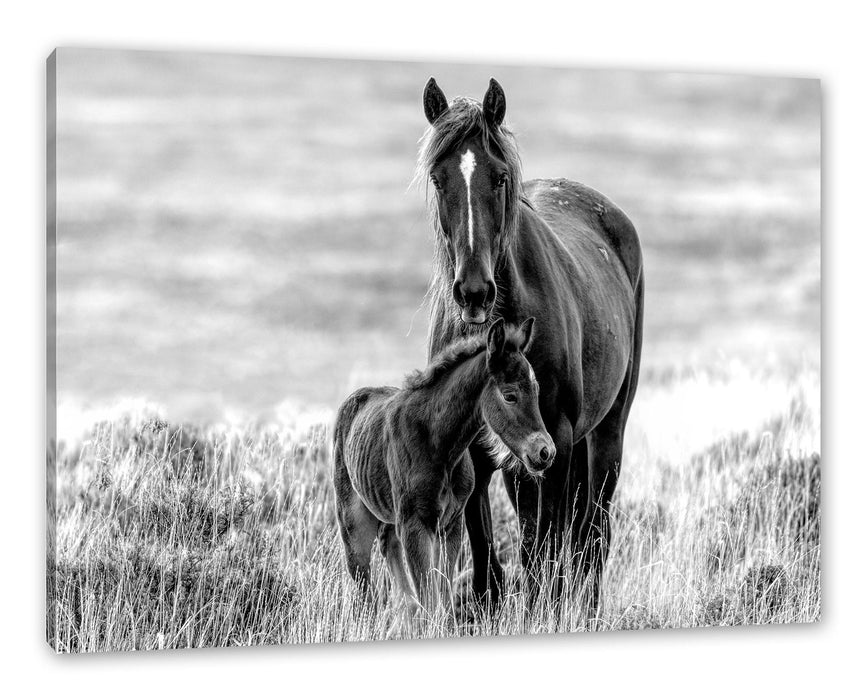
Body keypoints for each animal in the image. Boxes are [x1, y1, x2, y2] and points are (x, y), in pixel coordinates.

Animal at [330, 318, 552, 612]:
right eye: (510, 396)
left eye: (536, 390)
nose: (545, 452)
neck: (440, 446)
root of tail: (353, 401)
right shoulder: (415, 525)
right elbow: (429, 597)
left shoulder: (451, 525)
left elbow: (442, 597)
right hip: (353, 521)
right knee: (363, 580)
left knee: (391, 554)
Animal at [418, 76, 640, 608]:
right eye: (438, 178)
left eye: (499, 177)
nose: (474, 292)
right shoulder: (477, 451)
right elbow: (486, 551)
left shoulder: (553, 439)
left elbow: (545, 549)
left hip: (605, 433)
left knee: (593, 534)